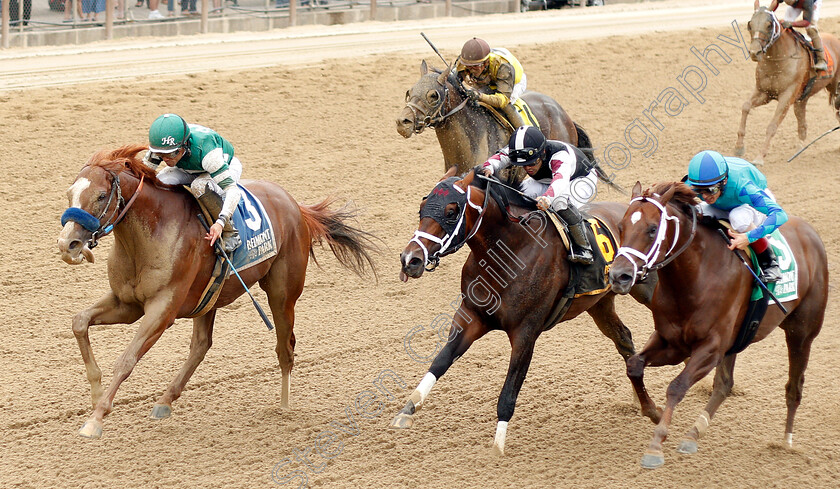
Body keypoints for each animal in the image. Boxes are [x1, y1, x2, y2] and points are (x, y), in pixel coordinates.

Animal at [56, 145, 378, 438]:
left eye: (100, 196)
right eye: (69, 193)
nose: (67, 244)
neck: (150, 234)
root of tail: (295, 205)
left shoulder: (162, 310)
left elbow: (126, 359)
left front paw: (96, 418)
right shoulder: (127, 304)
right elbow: (79, 322)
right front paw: (96, 395)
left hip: (283, 293)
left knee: (285, 348)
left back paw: (285, 408)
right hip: (208, 299)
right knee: (201, 345)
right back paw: (165, 401)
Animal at [390, 170, 660, 456]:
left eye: (451, 211)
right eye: (421, 209)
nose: (410, 259)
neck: (509, 252)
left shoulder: (525, 333)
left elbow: (508, 393)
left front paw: (497, 449)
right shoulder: (471, 317)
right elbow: (440, 362)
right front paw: (407, 410)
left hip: (647, 290)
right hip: (600, 303)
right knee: (624, 339)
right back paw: (647, 405)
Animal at [608, 181, 832, 468]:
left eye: (652, 229)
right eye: (621, 226)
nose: (619, 276)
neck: (695, 277)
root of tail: (809, 231)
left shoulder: (711, 346)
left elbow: (677, 386)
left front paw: (656, 445)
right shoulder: (672, 342)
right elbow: (634, 366)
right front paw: (655, 413)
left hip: (801, 331)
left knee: (795, 386)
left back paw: (786, 442)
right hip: (737, 339)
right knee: (725, 385)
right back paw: (694, 432)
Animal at [736, 0, 840, 165]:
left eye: (769, 25)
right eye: (750, 24)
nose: (754, 53)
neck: (778, 60)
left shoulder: (786, 97)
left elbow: (772, 125)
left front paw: (760, 157)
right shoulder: (763, 92)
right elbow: (745, 107)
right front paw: (739, 147)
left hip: (834, 86)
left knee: (811, 28)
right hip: (802, 97)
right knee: (802, 121)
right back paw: (800, 148)